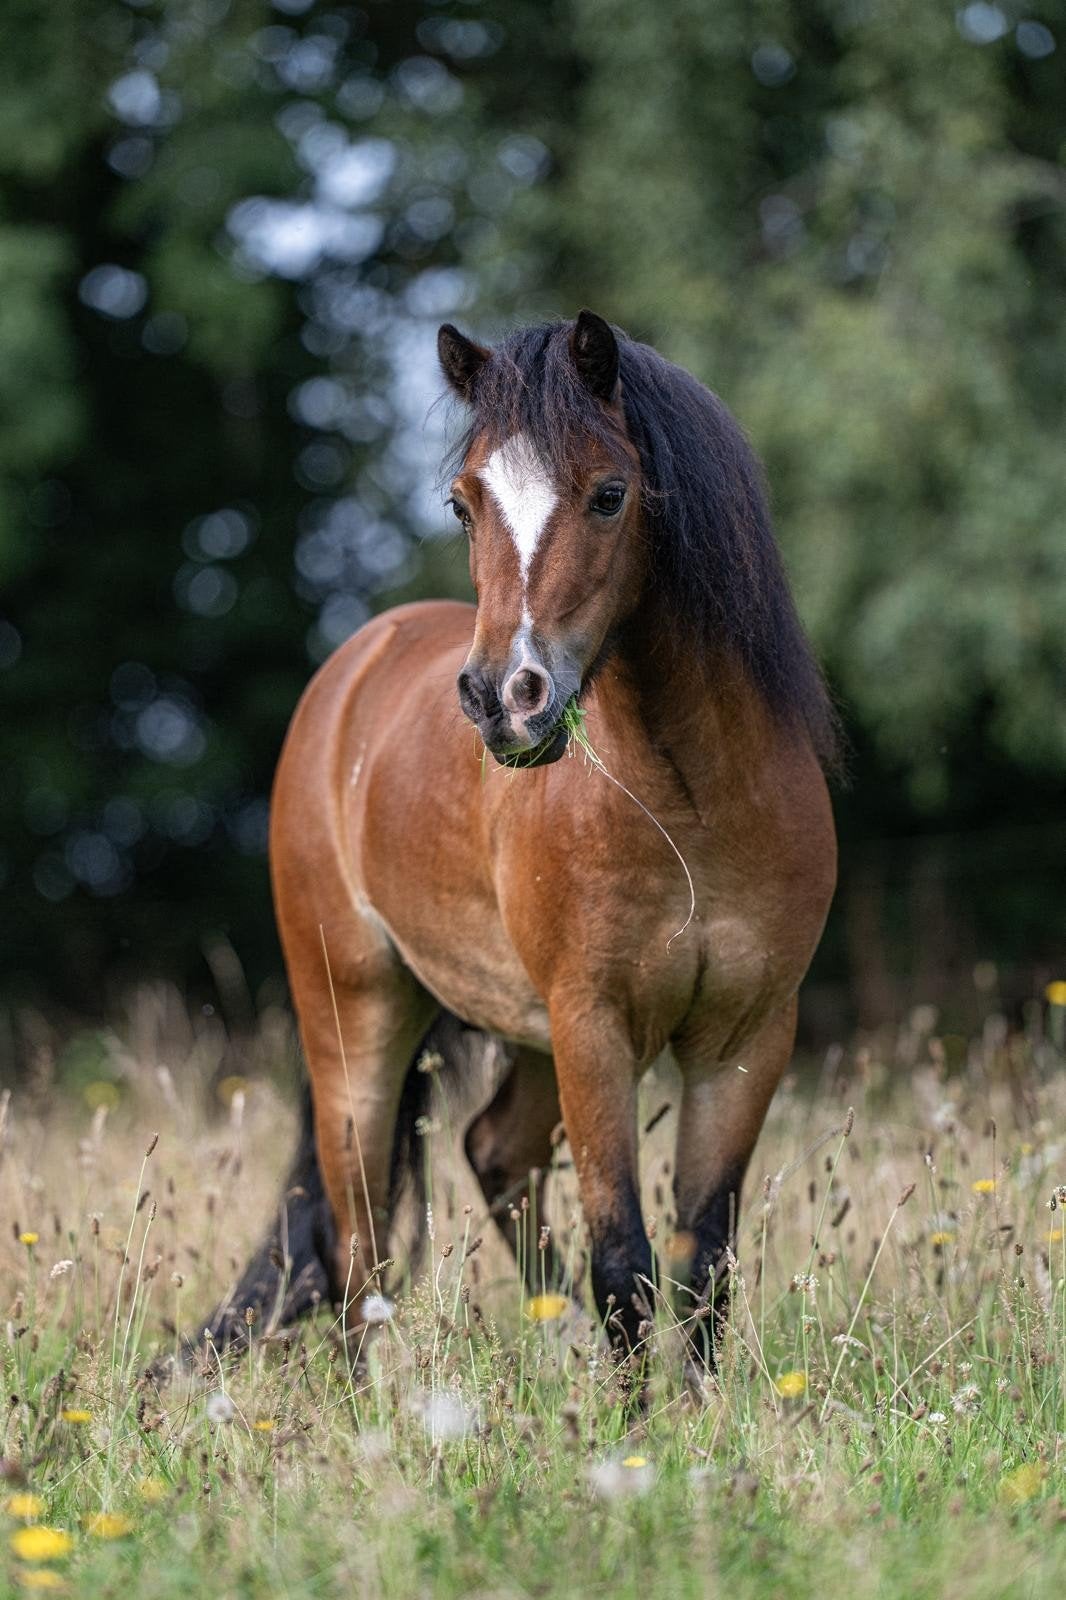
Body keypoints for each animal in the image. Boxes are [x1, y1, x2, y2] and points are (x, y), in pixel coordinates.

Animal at [204, 311, 837, 1368]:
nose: (503, 698)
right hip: (357, 1016)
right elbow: (624, 1265)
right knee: (356, 1237)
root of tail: (349, 672)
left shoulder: (747, 1038)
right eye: (462, 506)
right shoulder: (593, 1029)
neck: (692, 803)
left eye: (611, 493)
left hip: (526, 1038)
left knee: (490, 1155)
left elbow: (704, 1262)